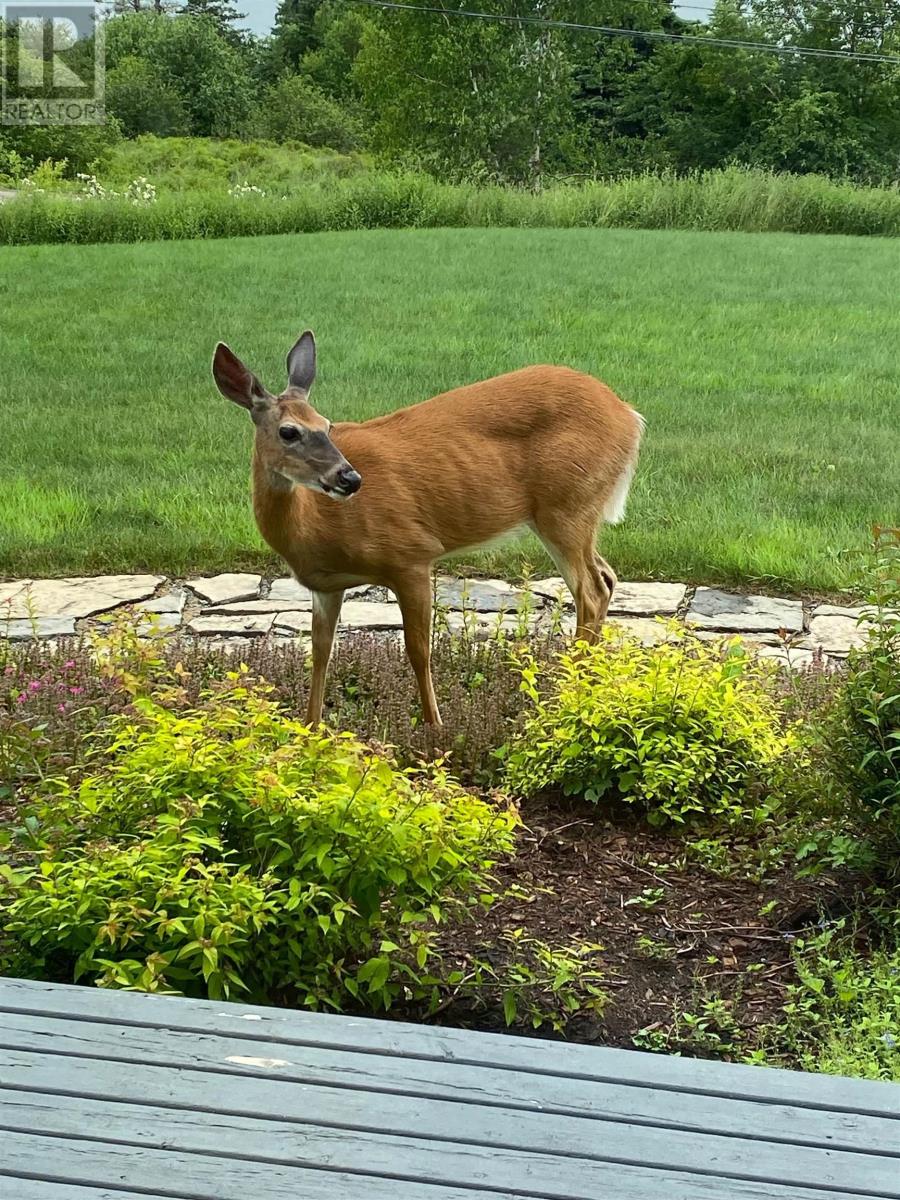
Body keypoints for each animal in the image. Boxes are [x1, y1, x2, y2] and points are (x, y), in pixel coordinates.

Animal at [213, 328, 643, 724]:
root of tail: (630, 416)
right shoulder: (326, 586)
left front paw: (434, 728)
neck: (315, 527)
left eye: (328, 425)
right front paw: (310, 729)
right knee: (606, 578)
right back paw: (588, 684)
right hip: (571, 512)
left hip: (566, 506)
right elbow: (320, 653)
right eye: (289, 431)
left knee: (590, 591)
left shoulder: (412, 554)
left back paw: (569, 696)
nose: (350, 478)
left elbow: (418, 650)